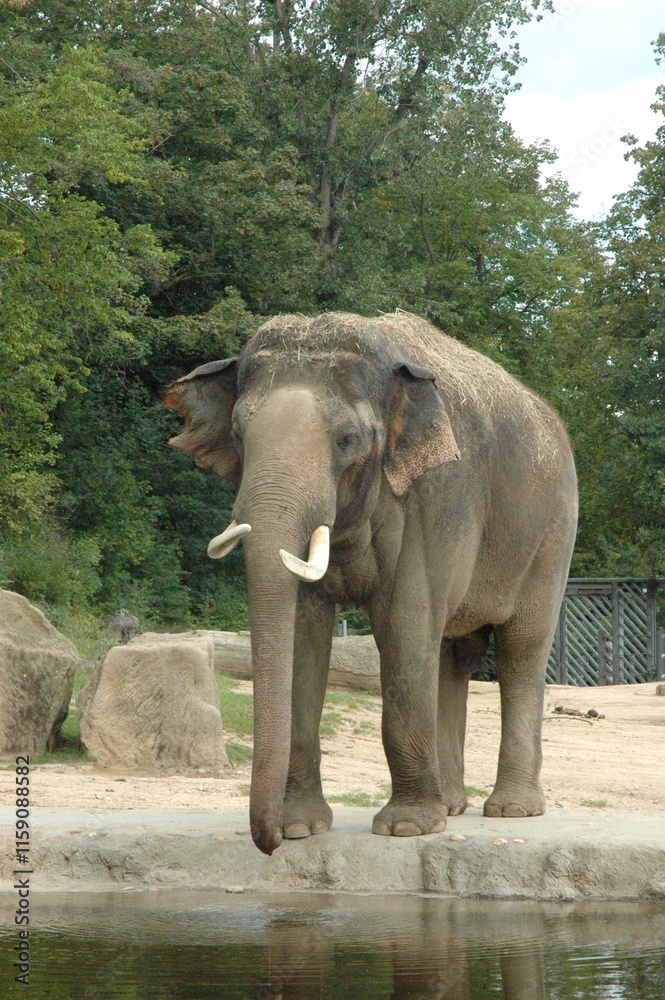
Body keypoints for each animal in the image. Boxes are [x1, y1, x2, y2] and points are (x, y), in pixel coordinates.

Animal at [164, 310, 577, 856]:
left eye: (347, 440)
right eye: (238, 433)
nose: (269, 843)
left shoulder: (433, 497)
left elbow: (403, 625)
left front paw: (406, 829)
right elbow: (305, 632)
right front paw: (301, 828)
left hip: (553, 531)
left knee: (521, 648)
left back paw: (512, 810)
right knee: (452, 652)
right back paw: (451, 806)